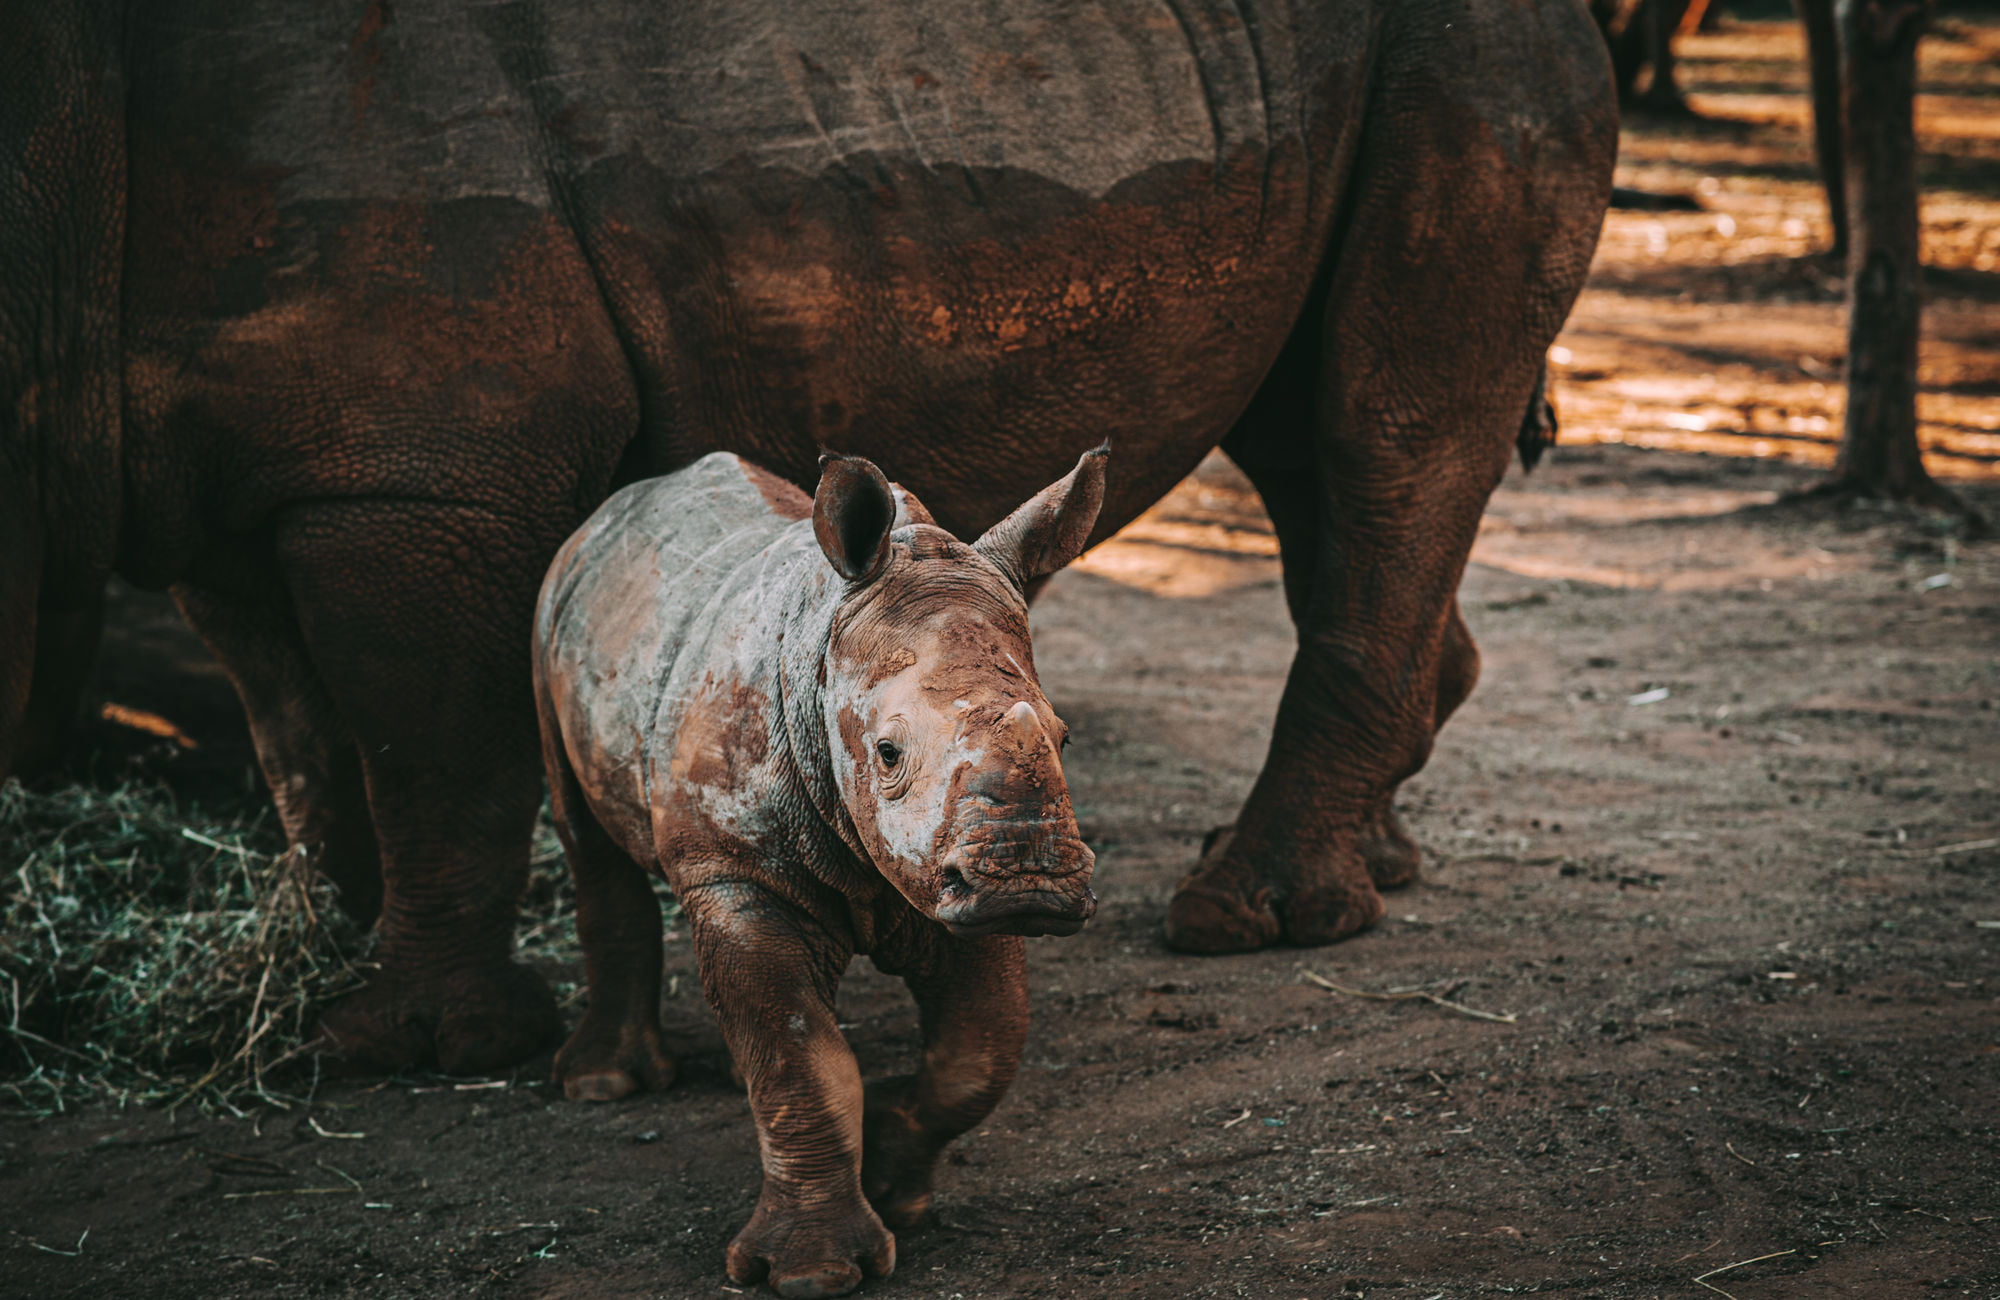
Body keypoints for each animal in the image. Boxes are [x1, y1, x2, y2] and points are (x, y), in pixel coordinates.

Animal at [2, 0, 1615, 1073]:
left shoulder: (413, 471)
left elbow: (424, 742)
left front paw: (401, 1042)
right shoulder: (215, 486)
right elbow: (292, 724)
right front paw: (297, 960)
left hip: (1471, 55)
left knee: (1383, 428)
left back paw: (1246, 918)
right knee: (1305, 445)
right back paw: (1374, 862)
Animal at [532, 449, 1103, 1296]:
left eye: (1063, 738)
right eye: (889, 752)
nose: (1030, 883)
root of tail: (613, 511)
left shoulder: (952, 884)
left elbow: (983, 1047)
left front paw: (893, 1184)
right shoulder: (736, 875)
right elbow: (798, 1058)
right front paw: (812, 1274)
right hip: (550, 615)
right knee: (586, 836)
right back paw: (604, 1086)